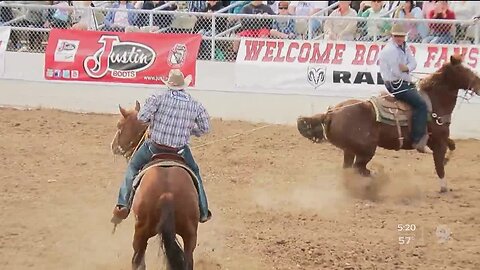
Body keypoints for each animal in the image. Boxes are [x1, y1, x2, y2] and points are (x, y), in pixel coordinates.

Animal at [110, 101, 199, 270]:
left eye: (119, 125)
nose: (113, 146)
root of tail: (167, 194)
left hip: (141, 233)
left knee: (137, 260)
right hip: (190, 234)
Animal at [296, 54, 480, 193]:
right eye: (465, 70)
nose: (478, 84)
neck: (433, 103)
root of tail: (332, 113)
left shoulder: (440, 139)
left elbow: (452, 146)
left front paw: (448, 161)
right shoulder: (439, 142)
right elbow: (439, 165)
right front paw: (444, 187)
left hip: (350, 150)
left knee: (349, 169)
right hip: (366, 150)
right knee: (359, 168)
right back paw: (377, 179)